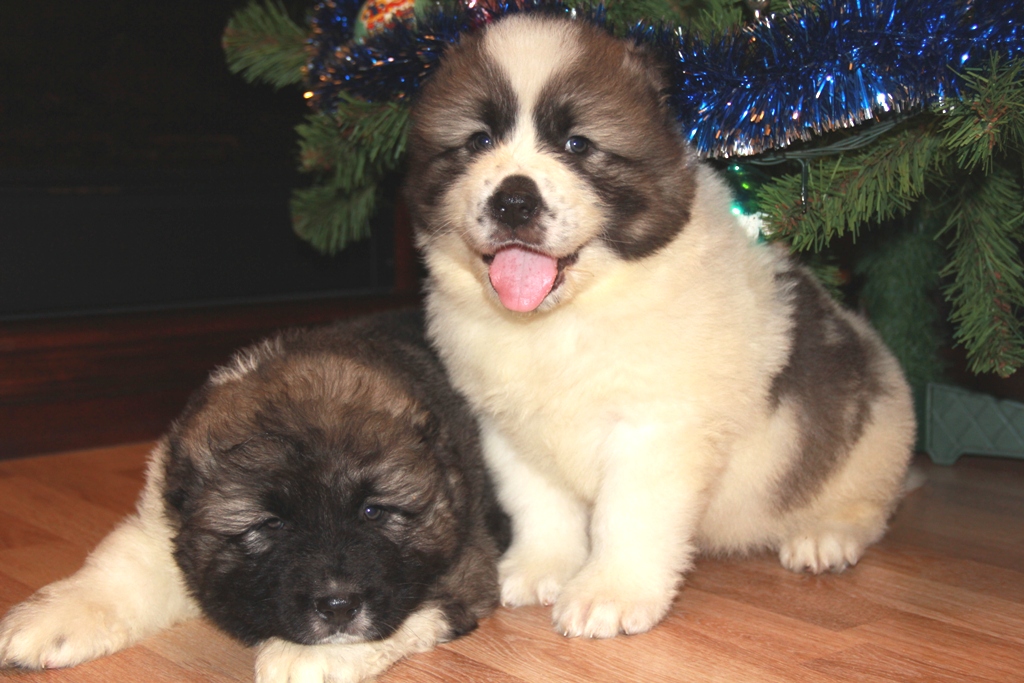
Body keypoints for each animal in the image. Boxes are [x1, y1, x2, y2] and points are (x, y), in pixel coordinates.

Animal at [0, 313, 509, 683]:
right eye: (269, 524)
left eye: (373, 511)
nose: (338, 606)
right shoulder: (160, 528)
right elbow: (118, 571)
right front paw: (49, 621)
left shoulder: (466, 561)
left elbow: (416, 600)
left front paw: (303, 655)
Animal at [403, 14, 917, 643]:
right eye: (477, 141)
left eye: (578, 145)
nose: (514, 200)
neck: (569, 316)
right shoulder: (509, 431)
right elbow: (539, 506)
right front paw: (540, 567)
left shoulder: (658, 429)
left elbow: (627, 515)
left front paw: (609, 594)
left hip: (875, 433)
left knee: (868, 506)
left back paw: (826, 536)